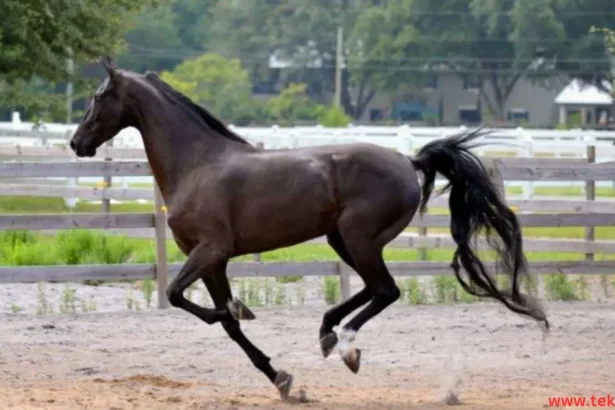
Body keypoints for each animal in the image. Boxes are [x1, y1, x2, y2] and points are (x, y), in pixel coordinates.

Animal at [68, 56, 548, 400]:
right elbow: (224, 325)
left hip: (358, 238)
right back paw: (327, 333)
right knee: (372, 289)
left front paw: (241, 312)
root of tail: (408, 160)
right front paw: (281, 378)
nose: (76, 143)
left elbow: (180, 297)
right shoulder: (213, 263)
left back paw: (346, 345)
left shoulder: (210, 251)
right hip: (342, 240)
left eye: (97, 95)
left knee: (386, 290)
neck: (197, 164)